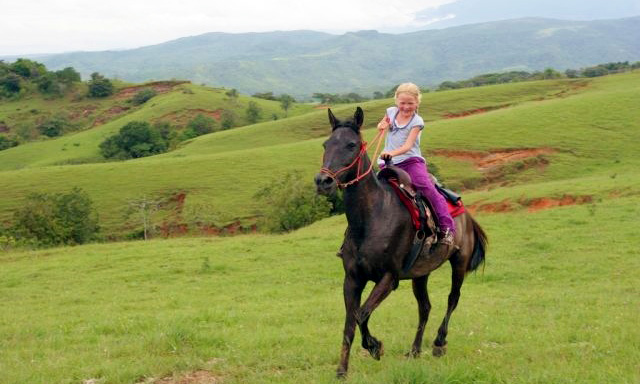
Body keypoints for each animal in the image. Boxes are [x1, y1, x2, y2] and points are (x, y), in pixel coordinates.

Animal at [312, 106, 488, 376]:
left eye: (352, 145)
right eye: (326, 144)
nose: (324, 182)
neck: (372, 218)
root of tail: (466, 215)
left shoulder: (389, 278)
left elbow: (361, 314)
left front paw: (375, 347)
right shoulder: (352, 279)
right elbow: (350, 322)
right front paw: (342, 370)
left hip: (459, 263)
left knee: (452, 298)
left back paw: (439, 343)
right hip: (421, 274)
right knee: (425, 307)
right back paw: (414, 350)